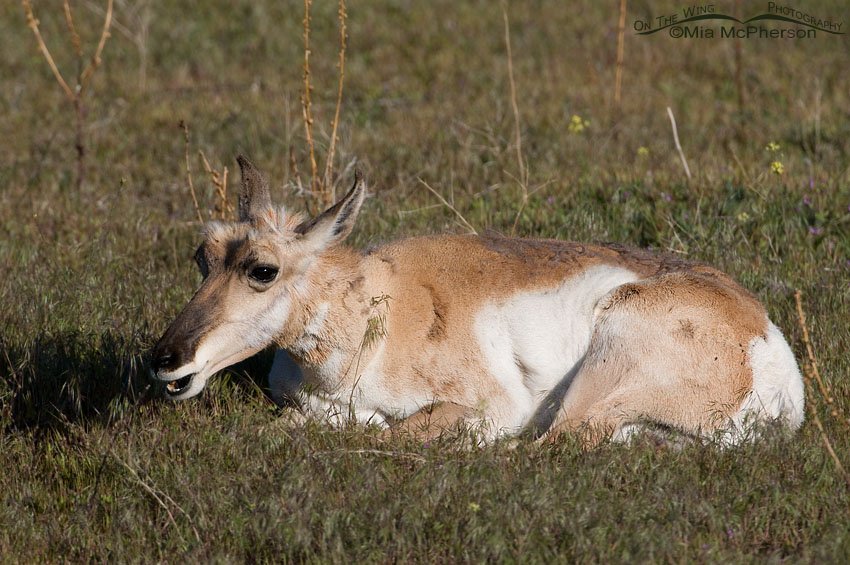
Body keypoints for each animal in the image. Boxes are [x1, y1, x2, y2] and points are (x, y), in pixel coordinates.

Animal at [151, 156, 804, 446]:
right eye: (203, 254)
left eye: (263, 269)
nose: (165, 360)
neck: (382, 302)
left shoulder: (486, 407)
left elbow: (393, 430)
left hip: (598, 381)